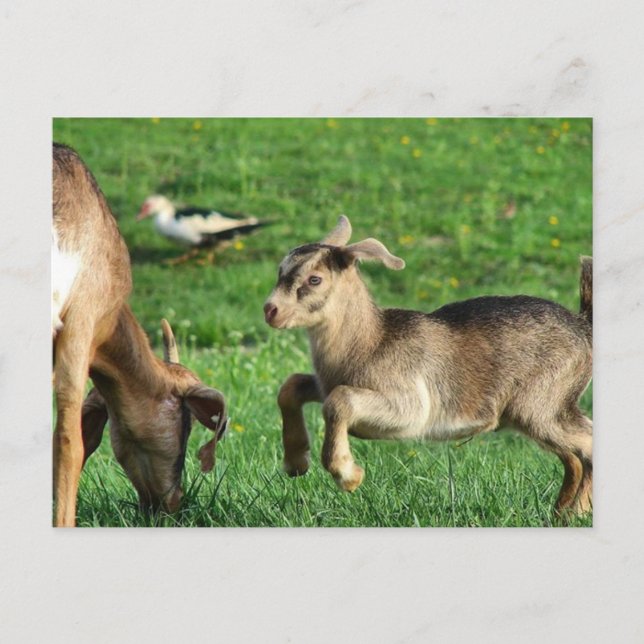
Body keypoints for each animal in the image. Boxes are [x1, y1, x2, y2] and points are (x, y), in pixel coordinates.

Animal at [264, 215, 592, 516]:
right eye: (280, 271)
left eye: (314, 279)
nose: (271, 310)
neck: (370, 343)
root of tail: (583, 325)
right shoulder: (325, 382)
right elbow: (291, 386)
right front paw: (295, 463)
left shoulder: (408, 407)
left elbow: (338, 400)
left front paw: (349, 477)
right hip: (543, 411)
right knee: (572, 457)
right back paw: (560, 512)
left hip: (543, 404)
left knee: (586, 443)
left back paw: (576, 512)